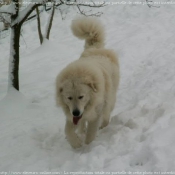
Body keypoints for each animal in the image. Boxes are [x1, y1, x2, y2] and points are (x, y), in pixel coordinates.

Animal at [55, 16, 119, 148]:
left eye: (81, 96)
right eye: (69, 98)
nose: (76, 112)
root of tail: (95, 48)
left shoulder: (96, 113)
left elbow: (91, 132)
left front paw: (88, 147)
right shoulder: (71, 115)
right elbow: (68, 130)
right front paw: (76, 144)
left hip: (110, 97)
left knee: (107, 113)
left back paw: (103, 125)